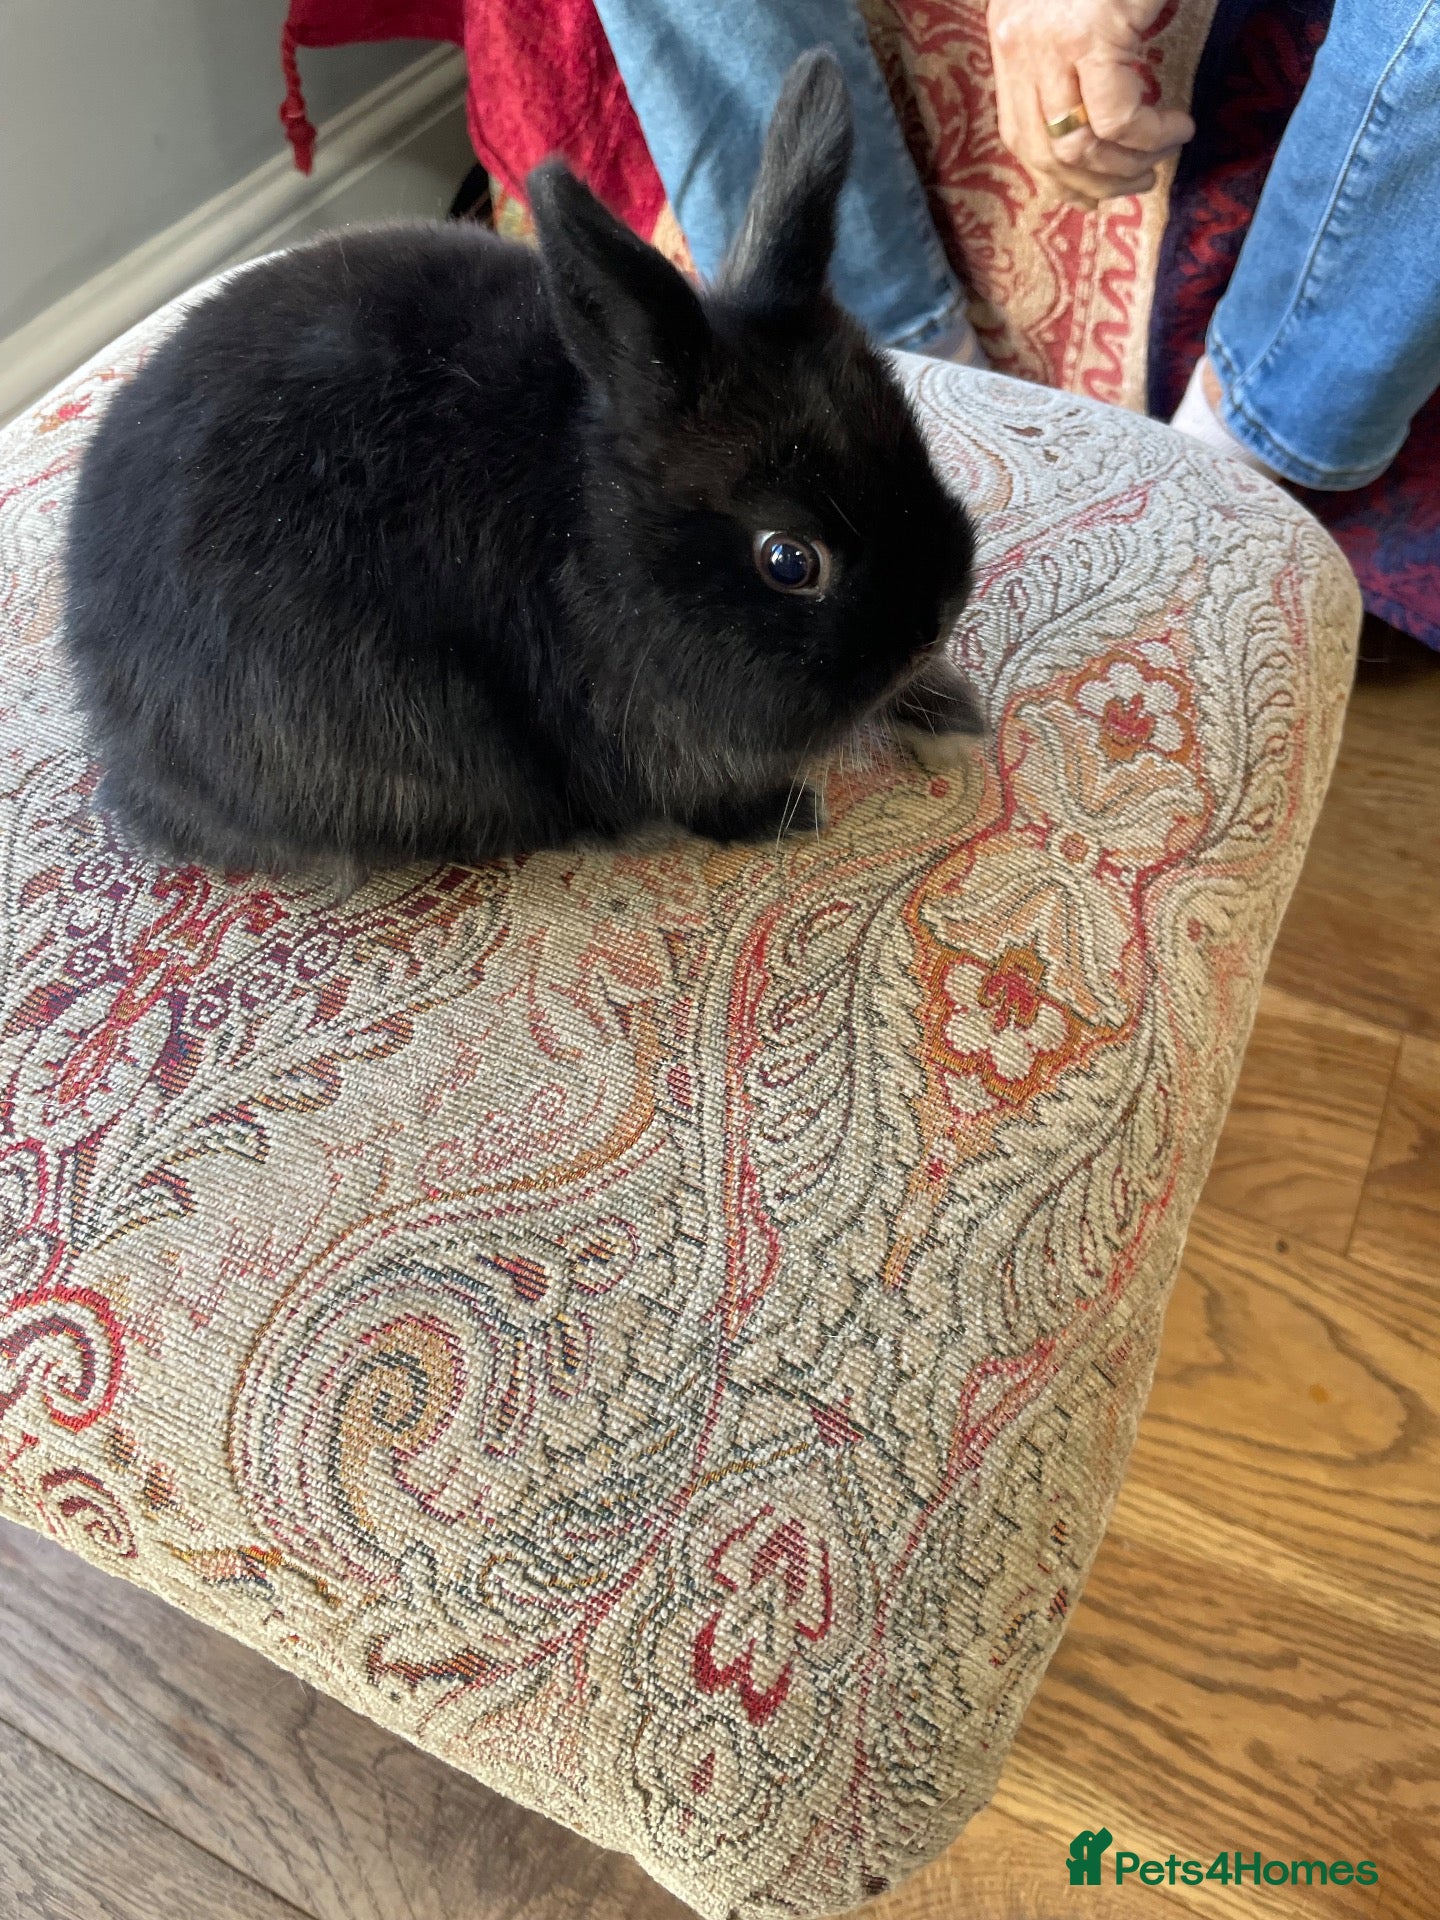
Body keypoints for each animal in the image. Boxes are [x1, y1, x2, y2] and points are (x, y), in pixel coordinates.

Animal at [60, 50, 982, 878]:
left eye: (910, 438)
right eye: (789, 561)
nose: (933, 618)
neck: (596, 527)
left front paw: (956, 722)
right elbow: (703, 799)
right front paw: (789, 810)